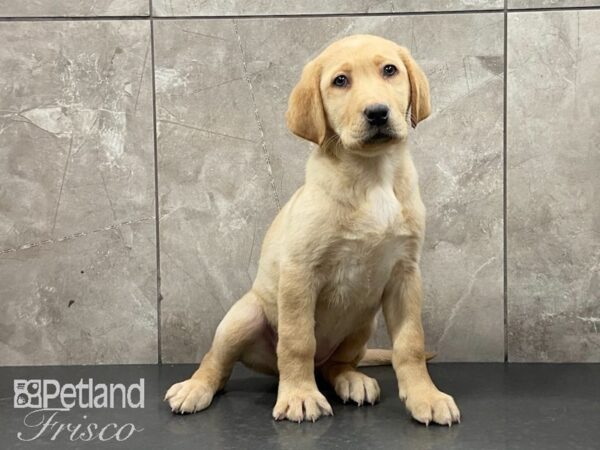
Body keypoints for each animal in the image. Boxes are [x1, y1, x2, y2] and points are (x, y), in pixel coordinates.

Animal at [164, 35, 460, 426]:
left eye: (390, 70)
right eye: (340, 81)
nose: (377, 113)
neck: (371, 175)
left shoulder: (405, 274)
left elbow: (410, 343)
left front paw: (426, 396)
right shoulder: (299, 273)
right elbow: (297, 341)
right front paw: (299, 396)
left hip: (361, 326)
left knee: (336, 363)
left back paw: (351, 380)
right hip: (243, 316)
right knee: (219, 360)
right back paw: (196, 387)